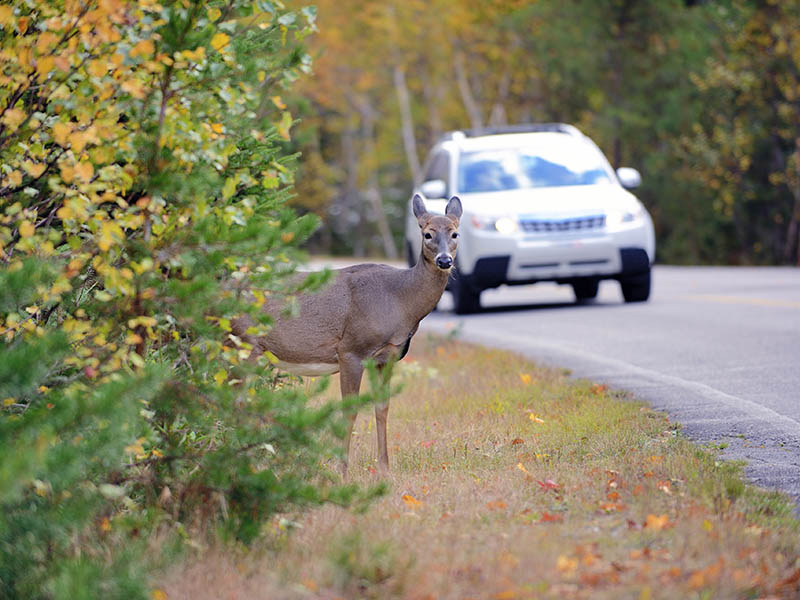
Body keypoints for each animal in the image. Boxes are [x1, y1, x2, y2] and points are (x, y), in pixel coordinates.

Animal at [233, 194, 462, 475]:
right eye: (427, 234)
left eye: (455, 233)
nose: (444, 261)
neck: (399, 300)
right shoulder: (351, 349)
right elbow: (349, 411)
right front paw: (342, 470)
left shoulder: (387, 357)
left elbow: (382, 408)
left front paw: (384, 469)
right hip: (244, 343)